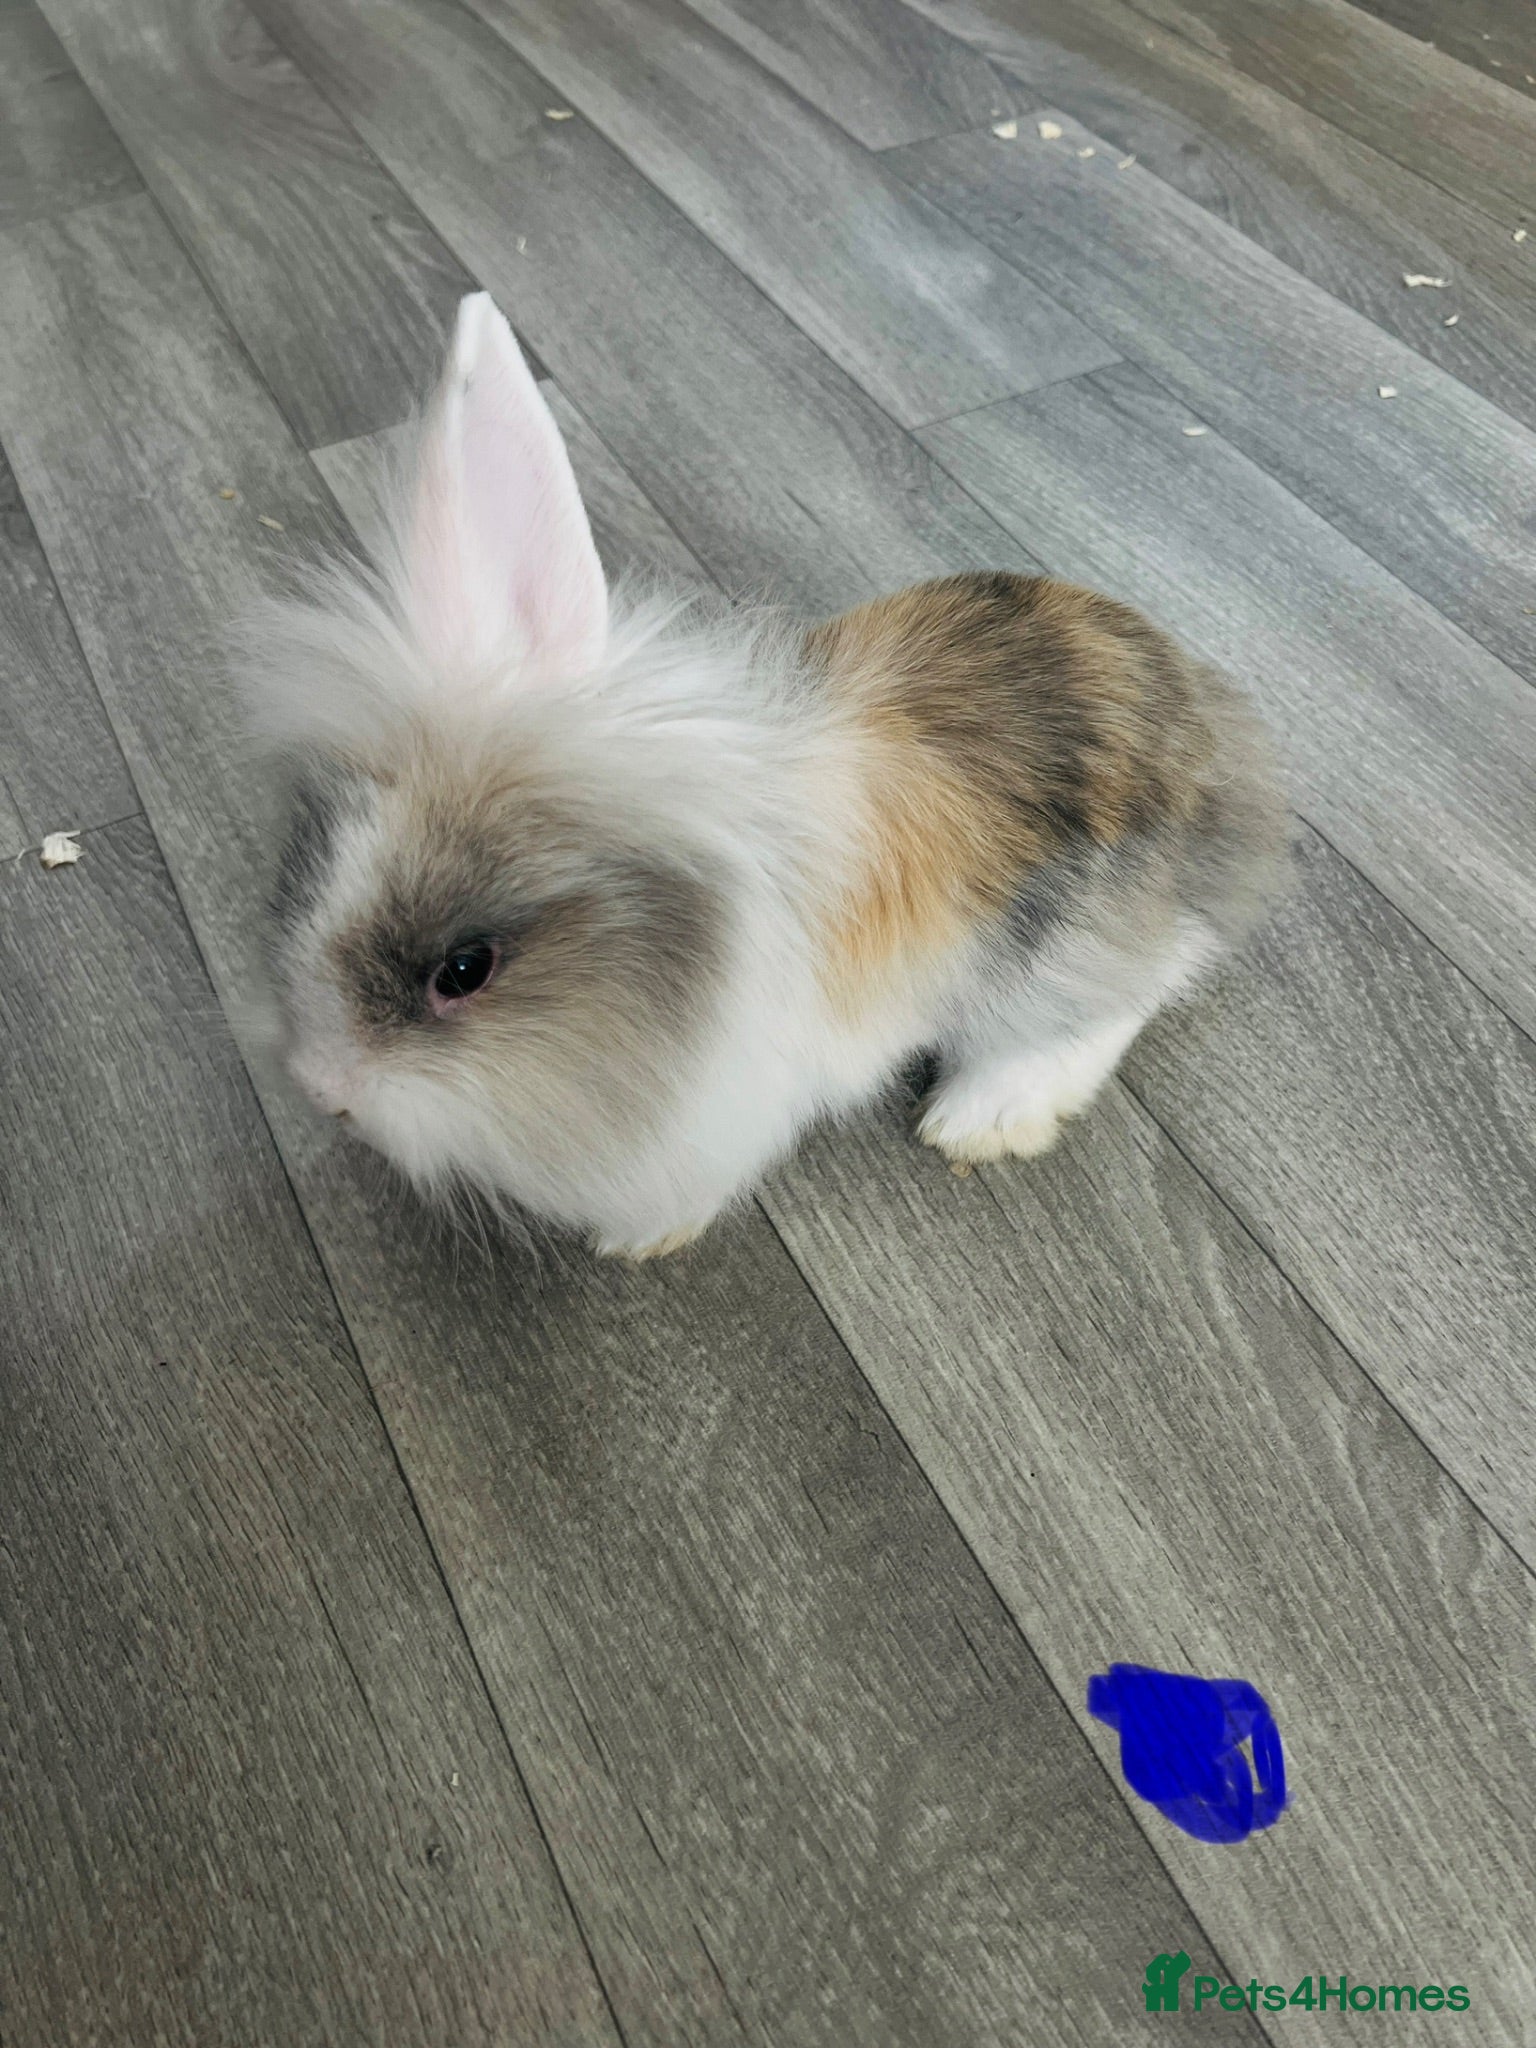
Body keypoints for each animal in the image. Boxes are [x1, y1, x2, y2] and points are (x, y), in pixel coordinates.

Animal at [241, 291, 1286, 1260]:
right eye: (304, 864)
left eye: (464, 969)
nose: (322, 1090)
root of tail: (1211, 720)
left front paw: (639, 1241)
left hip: (1063, 941)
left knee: (1122, 998)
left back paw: (982, 1120)